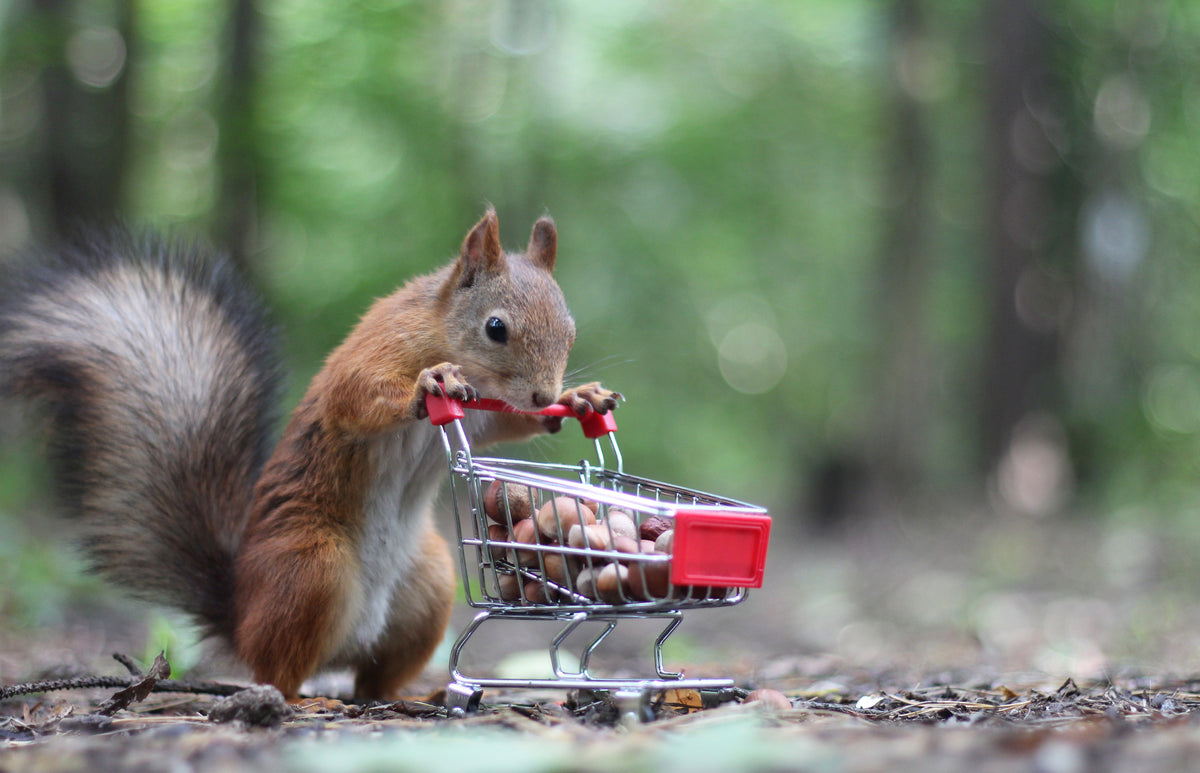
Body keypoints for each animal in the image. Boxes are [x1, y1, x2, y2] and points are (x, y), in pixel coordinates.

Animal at [0, 209, 619, 701]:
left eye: (570, 329)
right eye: (495, 328)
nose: (543, 392)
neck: (444, 333)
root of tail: (241, 613)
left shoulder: (488, 412)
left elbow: (505, 424)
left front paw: (577, 399)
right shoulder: (377, 348)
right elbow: (356, 397)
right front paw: (430, 382)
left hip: (428, 585)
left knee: (373, 681)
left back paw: (416, 693)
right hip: (308, 567)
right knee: (278, 670)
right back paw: (293, 699)